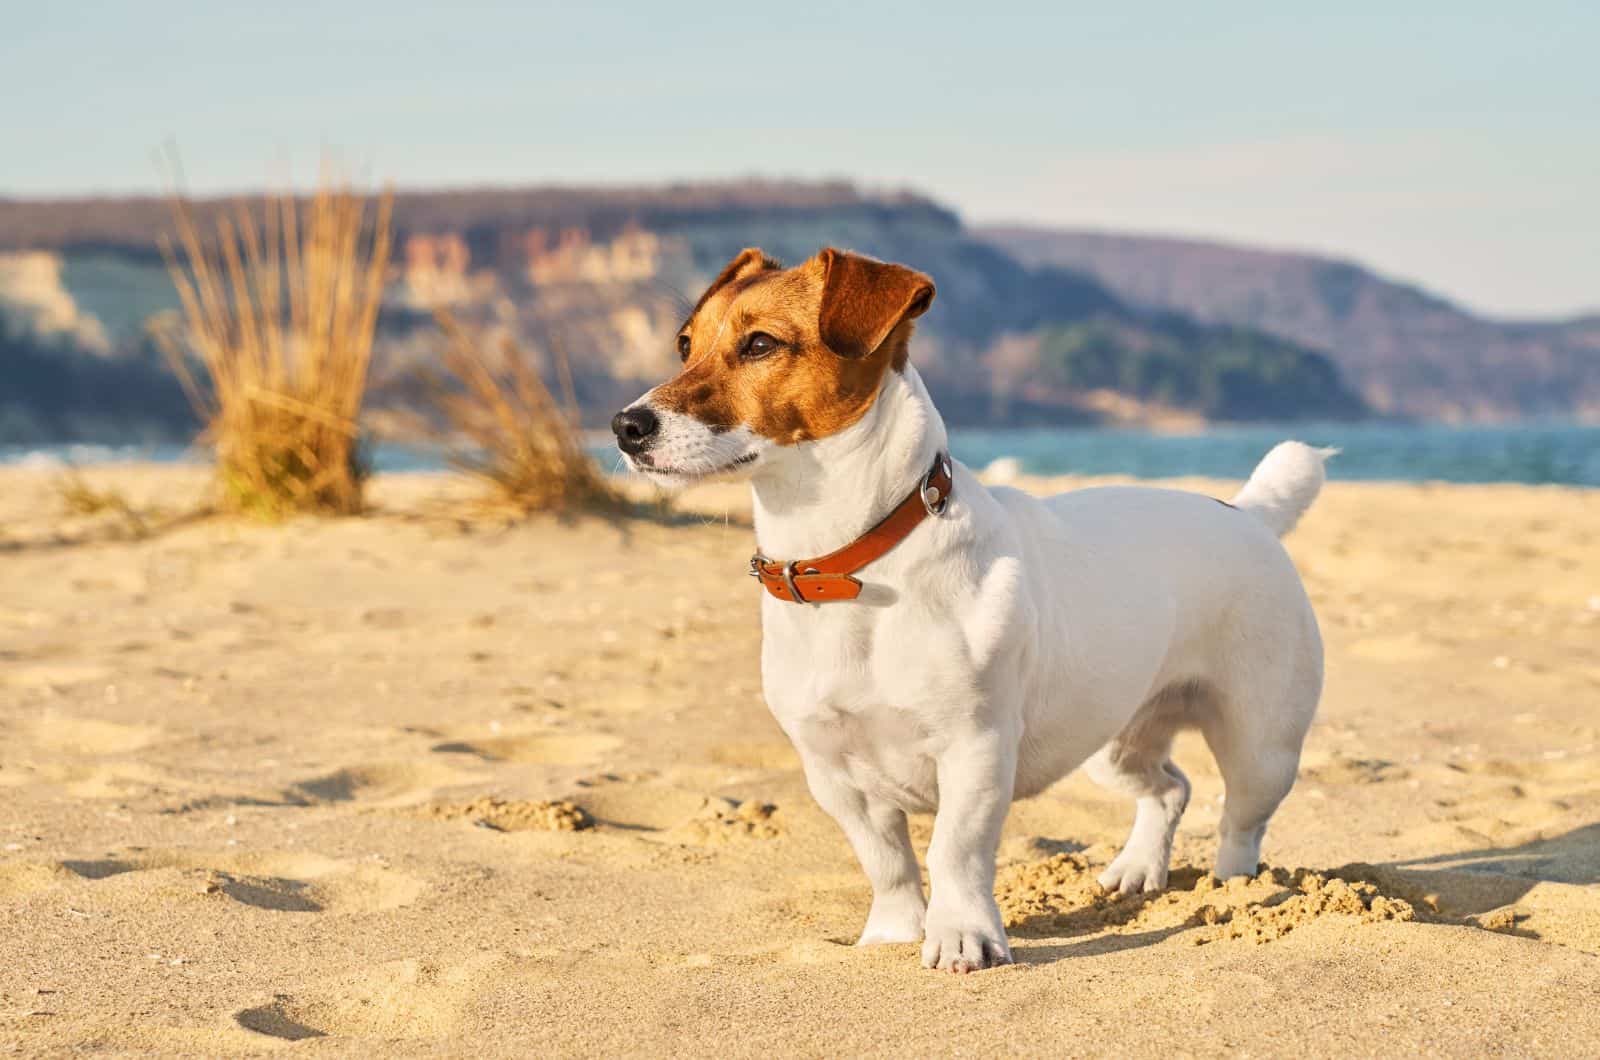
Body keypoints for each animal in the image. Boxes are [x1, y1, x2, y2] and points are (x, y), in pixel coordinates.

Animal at [611, 246, 1324, 973]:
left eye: (760, 344)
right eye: (685, 345)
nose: (625, 427)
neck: (852, 565)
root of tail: (1247, 513)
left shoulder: (975, 748)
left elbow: (953, 851)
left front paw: (961, 937)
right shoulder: (833, 773)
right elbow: (887, 860)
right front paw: (894, 931)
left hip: (1261, 742)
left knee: (1242, 818)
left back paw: (1237, 887)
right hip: (1111, 737)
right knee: (1170, 786)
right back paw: (1135, 869)